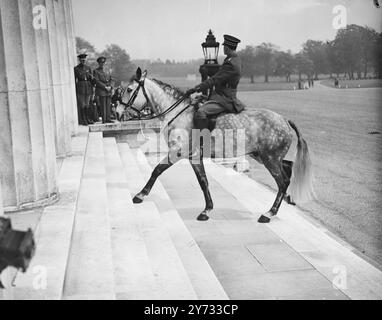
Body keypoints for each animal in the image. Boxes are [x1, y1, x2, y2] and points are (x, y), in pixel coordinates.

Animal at [122, 68, 314, 222]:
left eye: (129, 89)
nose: (119, 112)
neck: (179, 113)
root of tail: (284, 119)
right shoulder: (193, 156)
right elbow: (203, 181)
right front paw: (207, 209)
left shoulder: (178, 152)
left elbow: (157, 170)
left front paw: (140, 195)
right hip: (263, 156)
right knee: (288, 169)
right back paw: (286, 200)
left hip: (270, 159)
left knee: (282, 181)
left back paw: (269, 213)